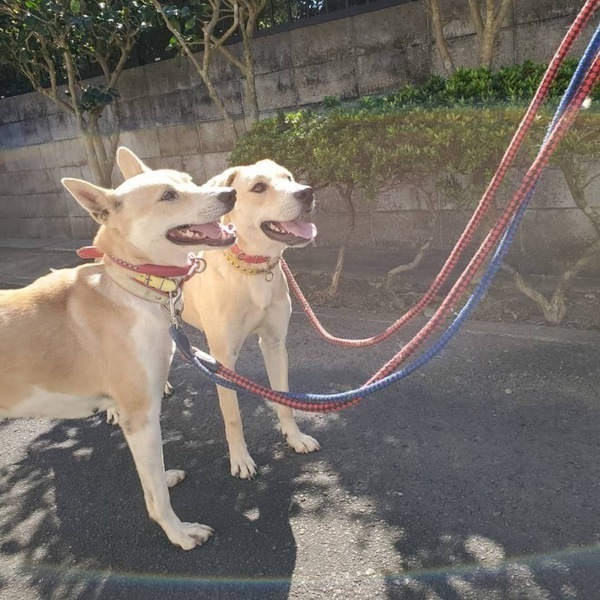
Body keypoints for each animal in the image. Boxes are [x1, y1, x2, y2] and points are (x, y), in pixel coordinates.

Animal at [0, 147, 237, 549]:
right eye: (168, 195)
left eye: (189, 180)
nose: (230, 193)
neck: (132, 284)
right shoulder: (139, 414)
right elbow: (156, 495)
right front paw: (178, 532)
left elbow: (152, 475)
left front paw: (165, 477)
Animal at [182, 160, 321, 479]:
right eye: (259, 187)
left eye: (289, 178)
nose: (306, 192)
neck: (252, 270)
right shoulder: (223, 358)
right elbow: (232, 417)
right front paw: (241, 459)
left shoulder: (274, 343)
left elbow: (284, 398)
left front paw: (294, 437)